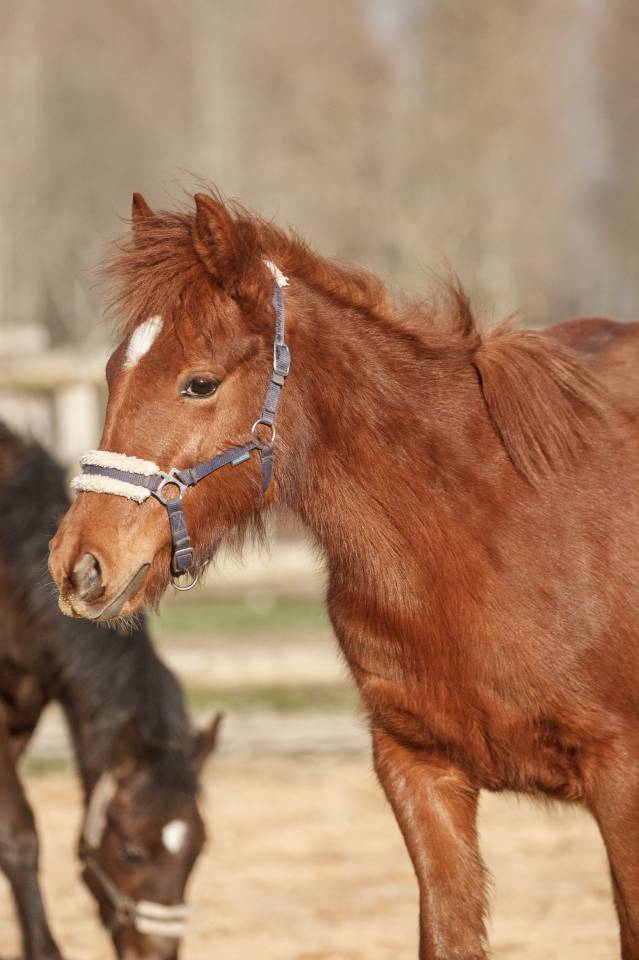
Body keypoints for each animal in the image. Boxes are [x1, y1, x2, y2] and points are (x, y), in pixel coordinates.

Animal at [48, 190, 639, 959]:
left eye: (198, 383)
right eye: (112, 372)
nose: (79, 563)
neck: (486, 534)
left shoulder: (621, 780)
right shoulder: (417, 770)